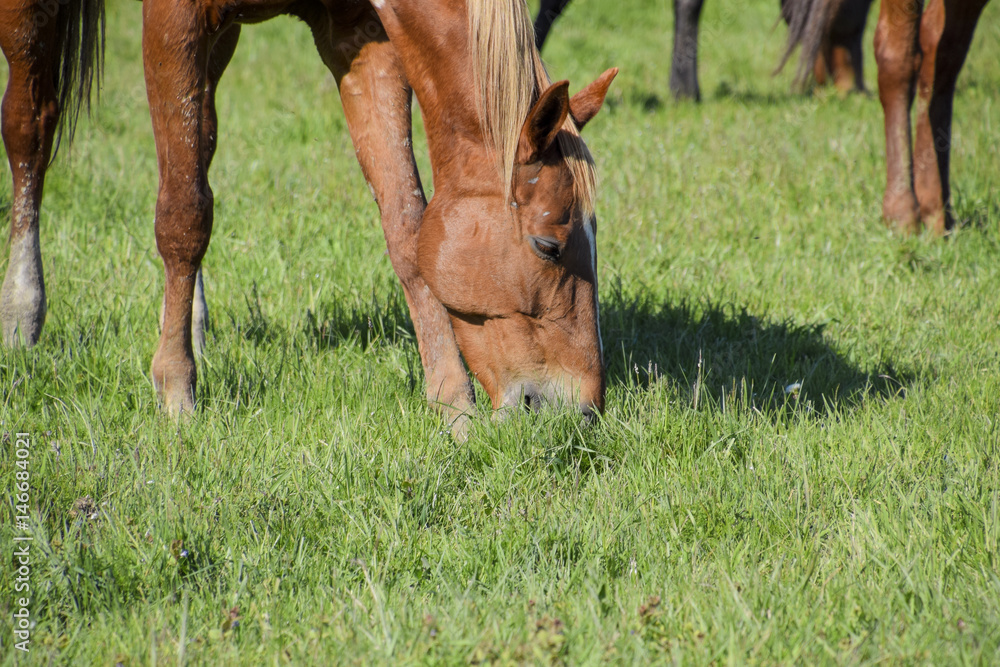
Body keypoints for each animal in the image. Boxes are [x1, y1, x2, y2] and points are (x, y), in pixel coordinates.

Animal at [142, 0, 617, 436]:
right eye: (549, 247)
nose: (583, 412)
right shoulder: (175, 20)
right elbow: (184, 215)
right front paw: (176, 393)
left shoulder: (360, 38)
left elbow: (406, 225)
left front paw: (455, 409)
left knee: (202, 143)